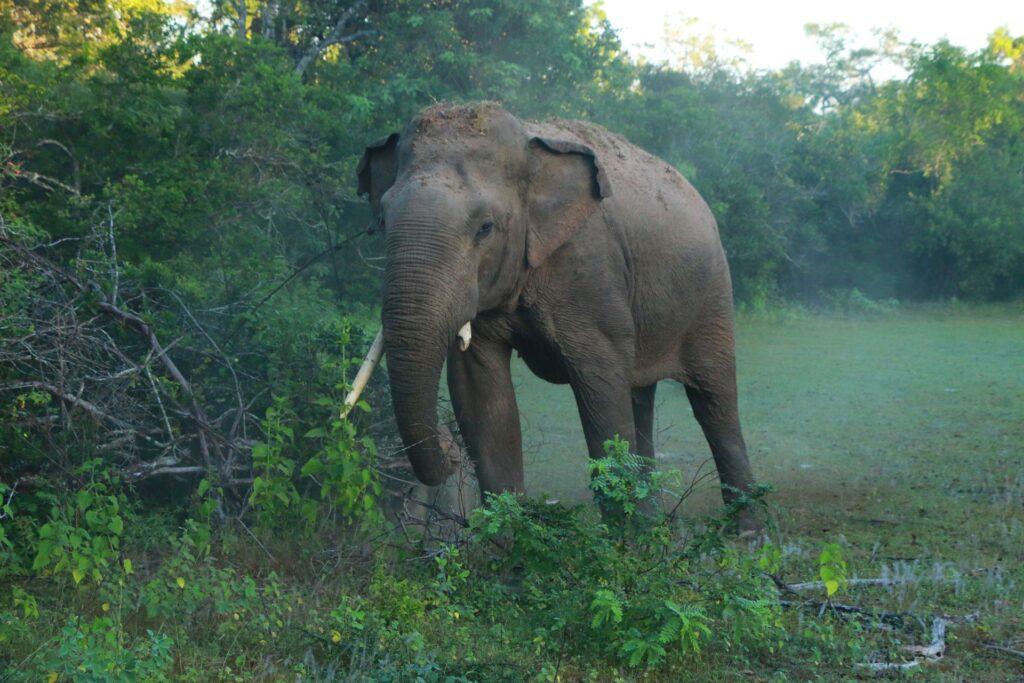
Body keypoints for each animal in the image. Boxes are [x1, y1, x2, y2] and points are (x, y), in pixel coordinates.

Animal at [356, 101, 759, 531]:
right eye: (382, 221)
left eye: (485, 228)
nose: (449, 455)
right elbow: (482, 401)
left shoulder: (591, 273)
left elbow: (601, 392)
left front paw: (621, 542)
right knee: (639, 395)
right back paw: (653, 526)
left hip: (712, 293)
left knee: (713, 400)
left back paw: (747, 535)